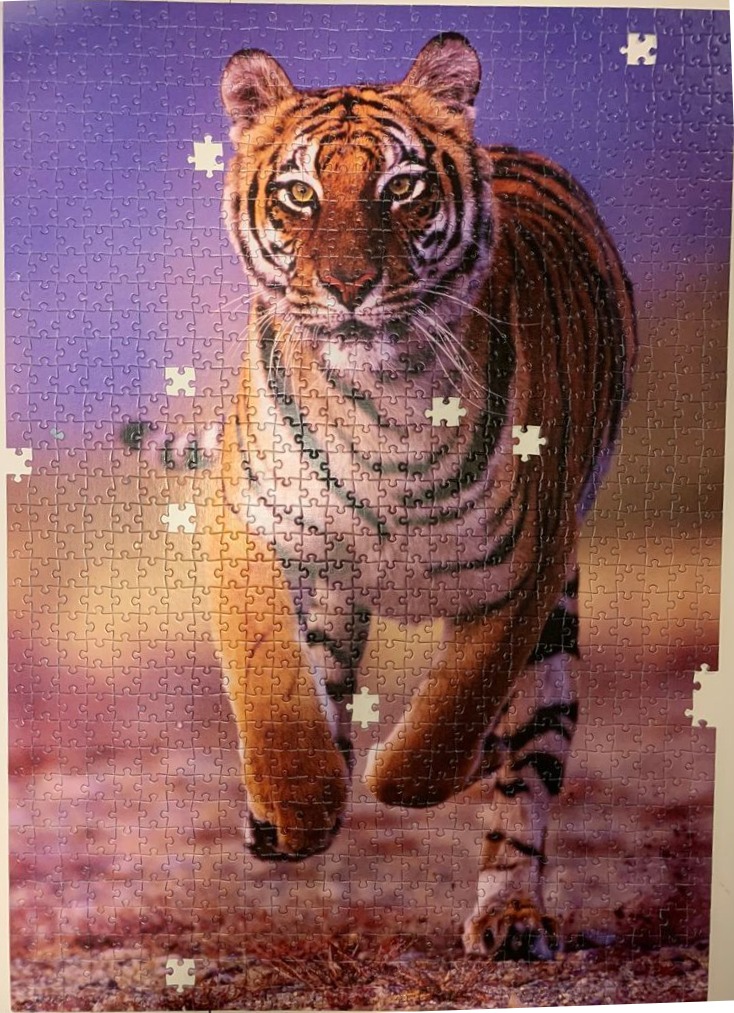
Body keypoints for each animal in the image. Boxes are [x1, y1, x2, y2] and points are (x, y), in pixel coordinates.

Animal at [205, 32, 637, 958]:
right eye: (299, 193)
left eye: (400, 188)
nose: (348, 286)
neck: (383, 403)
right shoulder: (252, 522)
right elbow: (273, 681)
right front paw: (296, 807)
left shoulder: (527, 563)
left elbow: (451, 712)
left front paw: (413, 765)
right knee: (324, 676)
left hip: (556, 630)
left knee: (524, 778)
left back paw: (511, 915)